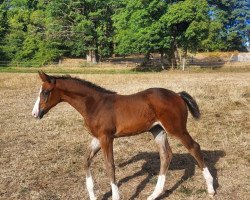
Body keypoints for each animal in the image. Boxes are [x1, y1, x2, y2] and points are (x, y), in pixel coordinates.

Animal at [31, 71, 215, 198]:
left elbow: (109, 165)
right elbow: (86, 160)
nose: (35, 114)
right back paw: (154, 194)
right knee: (166, 155)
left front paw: (116, 196)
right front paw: (93, 196)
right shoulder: (97, 138)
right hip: (158, 130)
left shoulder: (106, 138)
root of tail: (177, 95)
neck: (95, 104)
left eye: (45, 92)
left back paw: (211, 188)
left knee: (194, 147)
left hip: (176, 128)